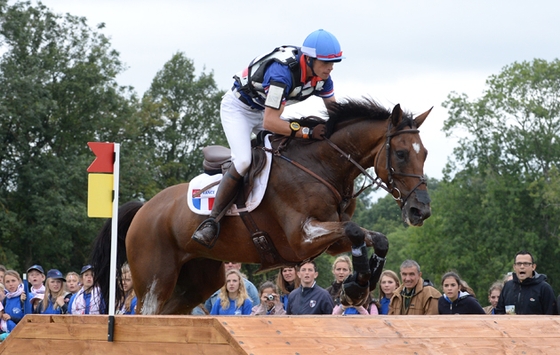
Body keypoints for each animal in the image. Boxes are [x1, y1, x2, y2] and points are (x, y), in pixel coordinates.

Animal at [91, 96, 434, 314]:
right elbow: (354, 230)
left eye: (426, 153)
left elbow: (375, 237)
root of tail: (144, 208)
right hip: (155, 279)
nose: (421, 211)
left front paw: (360, 284)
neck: (322, 166)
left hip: (198, 280)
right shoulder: (302, 237)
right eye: (401, 153)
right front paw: (357, 286)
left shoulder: (329, 241)